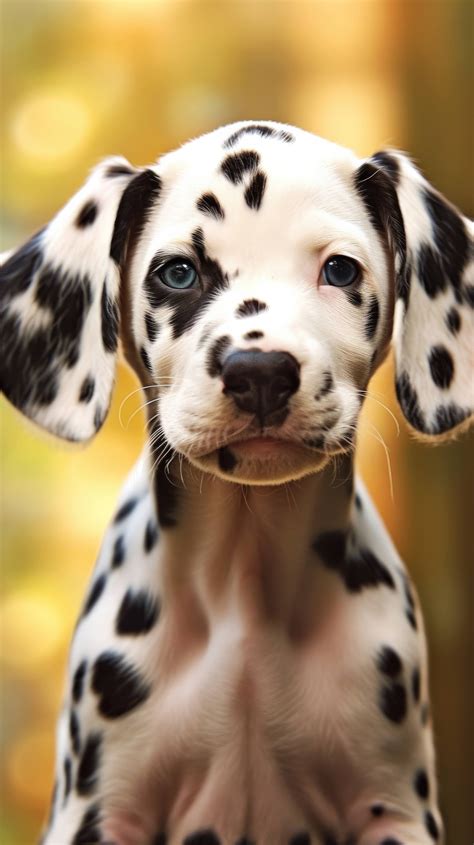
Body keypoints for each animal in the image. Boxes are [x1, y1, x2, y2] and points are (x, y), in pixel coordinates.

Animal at [0, 120, 474, 844]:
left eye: (340, 270)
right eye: (179, 272)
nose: (259, 372)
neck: (245, 583)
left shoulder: (392, 809)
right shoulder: (98, 812)